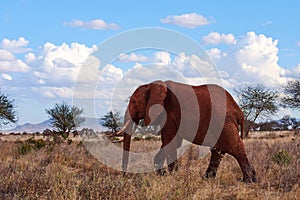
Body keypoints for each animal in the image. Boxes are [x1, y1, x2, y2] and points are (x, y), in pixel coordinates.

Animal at [116, 80, 255, 183]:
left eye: (134, 102)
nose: (124, 176)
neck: (152, 85)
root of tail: (239, 112)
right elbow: (171, 142)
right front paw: (162, 174)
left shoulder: (168, 112)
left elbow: (169, 141)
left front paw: (172, 177)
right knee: (218, 150)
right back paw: (206, 179)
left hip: (224, 122)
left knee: (235, 147)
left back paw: (249, 181)